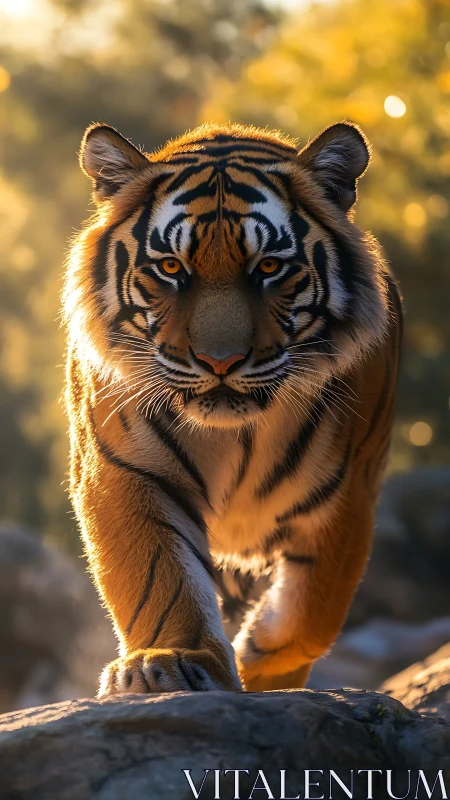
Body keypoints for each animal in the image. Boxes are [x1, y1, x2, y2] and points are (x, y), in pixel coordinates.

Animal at [64, 120, 402, 695]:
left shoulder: (349, 493)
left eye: (268, 267)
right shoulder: (124, 471)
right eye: (171, 267)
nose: (219, 361)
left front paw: (259, 661)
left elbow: (310, 613)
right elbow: (160, 580)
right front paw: (167, 662)